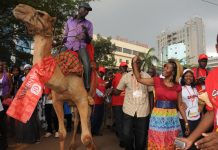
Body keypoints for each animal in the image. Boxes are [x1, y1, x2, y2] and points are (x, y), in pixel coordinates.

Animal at [12, 3, 96, 150]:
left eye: (41, 13)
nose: (19, 7)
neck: (64, 79)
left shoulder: (82, 99)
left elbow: (86, 138)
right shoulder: (57, 101)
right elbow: (62, 133)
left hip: (90, 96)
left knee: (87, 121)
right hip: (72, 103)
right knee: (76, 120)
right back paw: (72, 145)